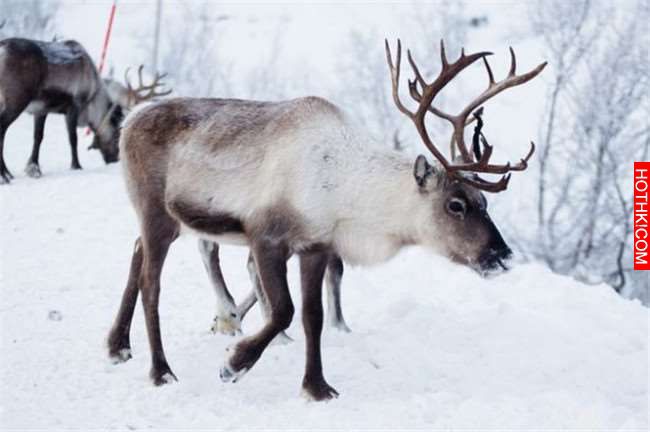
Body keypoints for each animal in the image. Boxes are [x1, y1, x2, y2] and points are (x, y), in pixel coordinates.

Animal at [0, 37, 123, 183]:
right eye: (117, 135)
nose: (115, 160)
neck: (92, 100)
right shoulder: (74, 106)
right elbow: (73, 139)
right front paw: (76, 166)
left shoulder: (40, 110)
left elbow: (38, 137)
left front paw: (34, 168)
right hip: (16, 101)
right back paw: (5, 175)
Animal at [107, 38, 546, 401]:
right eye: (456, 204)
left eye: (484, 201)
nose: (502, 255)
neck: (348, 193)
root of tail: (130, 119)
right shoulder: (267, 237)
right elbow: (283, 310)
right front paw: (233, 364)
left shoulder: (316, 246)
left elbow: (313, 316)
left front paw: (316, 387)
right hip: (156, 211)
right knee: (151, 282)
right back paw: (161, 371)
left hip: (160, 219)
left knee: (134, 252)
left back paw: (118, 346)